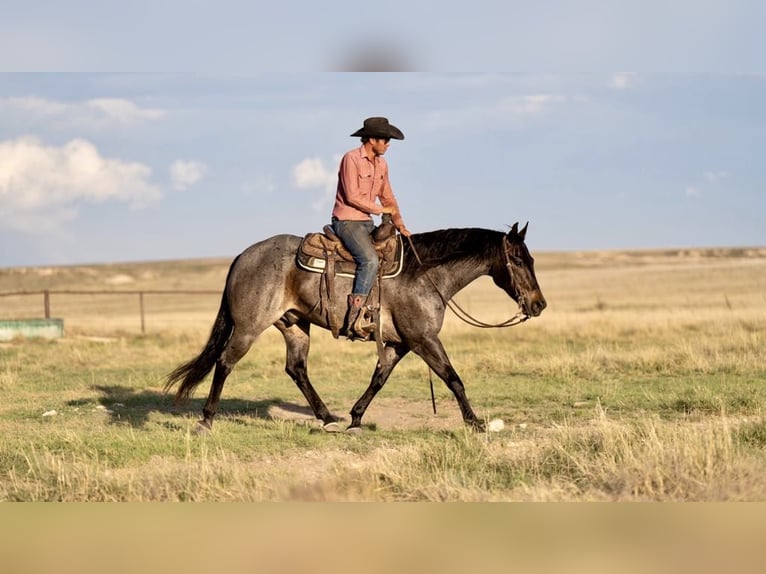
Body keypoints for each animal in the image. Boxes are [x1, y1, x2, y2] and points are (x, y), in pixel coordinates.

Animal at [164, 223, 544, 434]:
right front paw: (475, 423)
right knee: (225, 363)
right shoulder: (423, 339)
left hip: (295, 326)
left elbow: (378, 379)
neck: (425, 275)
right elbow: (453, 378)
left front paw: (355, 418)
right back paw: (206, 420)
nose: (539, 305)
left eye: (531, 258)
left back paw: (327, 417)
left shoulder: (399, 343)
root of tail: (242, 256)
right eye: (518, 260)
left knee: (296, 368)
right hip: (248, 327)